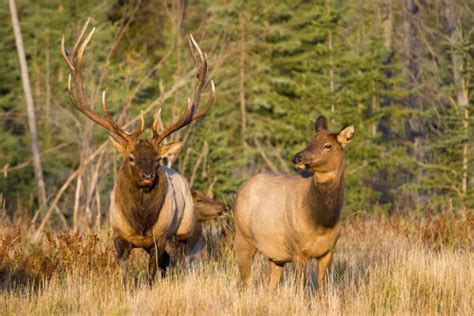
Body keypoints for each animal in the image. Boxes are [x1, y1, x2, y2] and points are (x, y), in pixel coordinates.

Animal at [60, 18, 216, 282]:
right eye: (131, 158)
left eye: (158, 159)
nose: (147, 176)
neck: (141, 223)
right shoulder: (118, 237)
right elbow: (125, 275)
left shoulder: (159, 238)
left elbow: (153, 273)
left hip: (184, 228)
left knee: (179, 259)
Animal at [233, 115, 356, 288]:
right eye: (310, 141)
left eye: (328, 145)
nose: (297, 157)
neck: (322, 221)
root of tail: (242, 187)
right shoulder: (297, 250)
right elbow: (300, 288)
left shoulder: (328, 251)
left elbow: (322, 288)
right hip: (243, 237)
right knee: (244, 282)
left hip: (275, 254)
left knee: (269, 284)